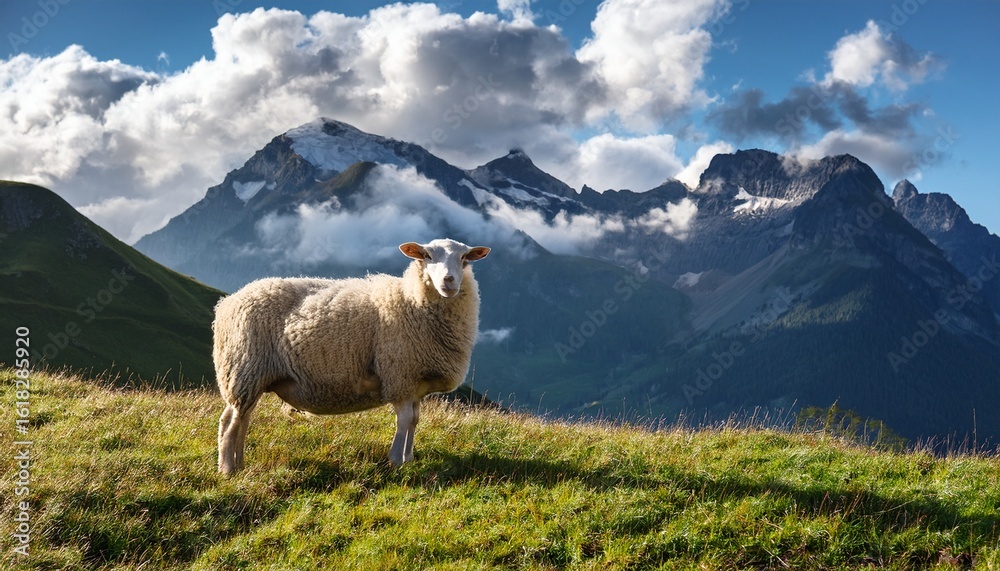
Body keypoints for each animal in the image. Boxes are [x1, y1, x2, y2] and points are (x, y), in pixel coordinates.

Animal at [214, 238, 490, 474]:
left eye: (464, 258)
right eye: (427, 256)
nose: (449, 281)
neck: (410, 299)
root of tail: (228, 302)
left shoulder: (415, 384)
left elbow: (415, 420)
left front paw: (409, 458)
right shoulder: (399, 375)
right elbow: (404, 420)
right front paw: (396, 461)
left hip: (254, 377)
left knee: (243, 420)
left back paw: (239, 464)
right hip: (243, 369)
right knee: (230, 421)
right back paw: (228, 470)